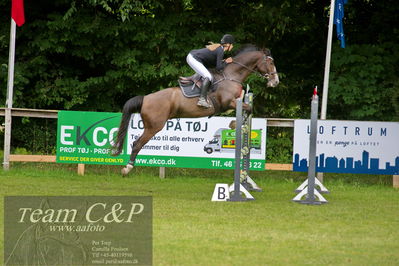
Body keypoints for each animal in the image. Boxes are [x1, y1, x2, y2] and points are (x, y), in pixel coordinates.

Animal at [114, 44, 280, 176]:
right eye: (271, 62)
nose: (276, 82)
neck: (231, 75)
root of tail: (145, 98)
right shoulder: (228, 102)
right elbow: (248, 108)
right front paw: (234, 125)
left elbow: (247, 109)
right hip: (153, 127)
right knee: (137, 144)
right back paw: (127, 168)